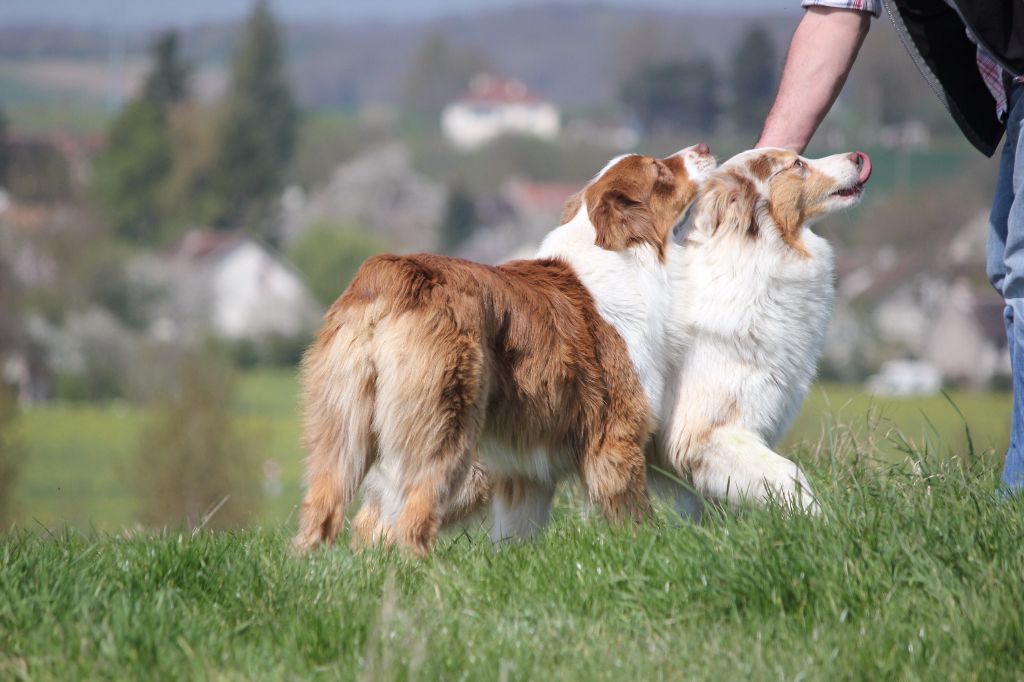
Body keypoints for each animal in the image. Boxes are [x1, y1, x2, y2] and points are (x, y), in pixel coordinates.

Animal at [292, 143, 716, 552]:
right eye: (659, 170)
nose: (705, 148)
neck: (621, 252)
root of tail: (390, 273)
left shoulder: (524, 470)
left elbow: (517, 532)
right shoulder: (616, 436)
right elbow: (634, 515)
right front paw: (649, 548)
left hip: (341, 426)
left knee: (330, 514)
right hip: (443, 431)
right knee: (406, 521)